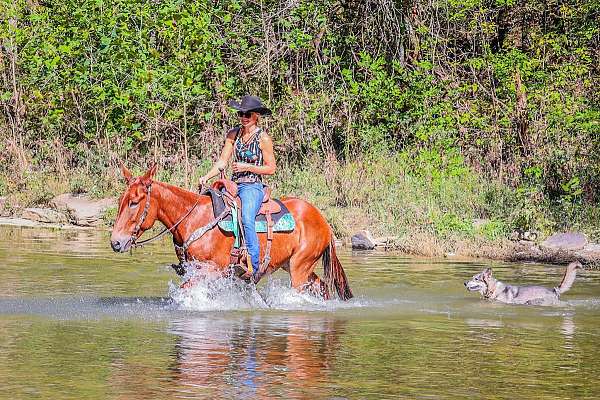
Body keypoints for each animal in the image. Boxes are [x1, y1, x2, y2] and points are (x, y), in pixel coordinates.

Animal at [110, 163, 354, 300]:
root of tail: (323, 220)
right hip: (296, 265)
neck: (194, 219)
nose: (116, 242)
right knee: (322, 287)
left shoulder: (213, 270)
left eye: (134, 202)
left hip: (299, 268)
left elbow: (185, 289)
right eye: (121, 200)